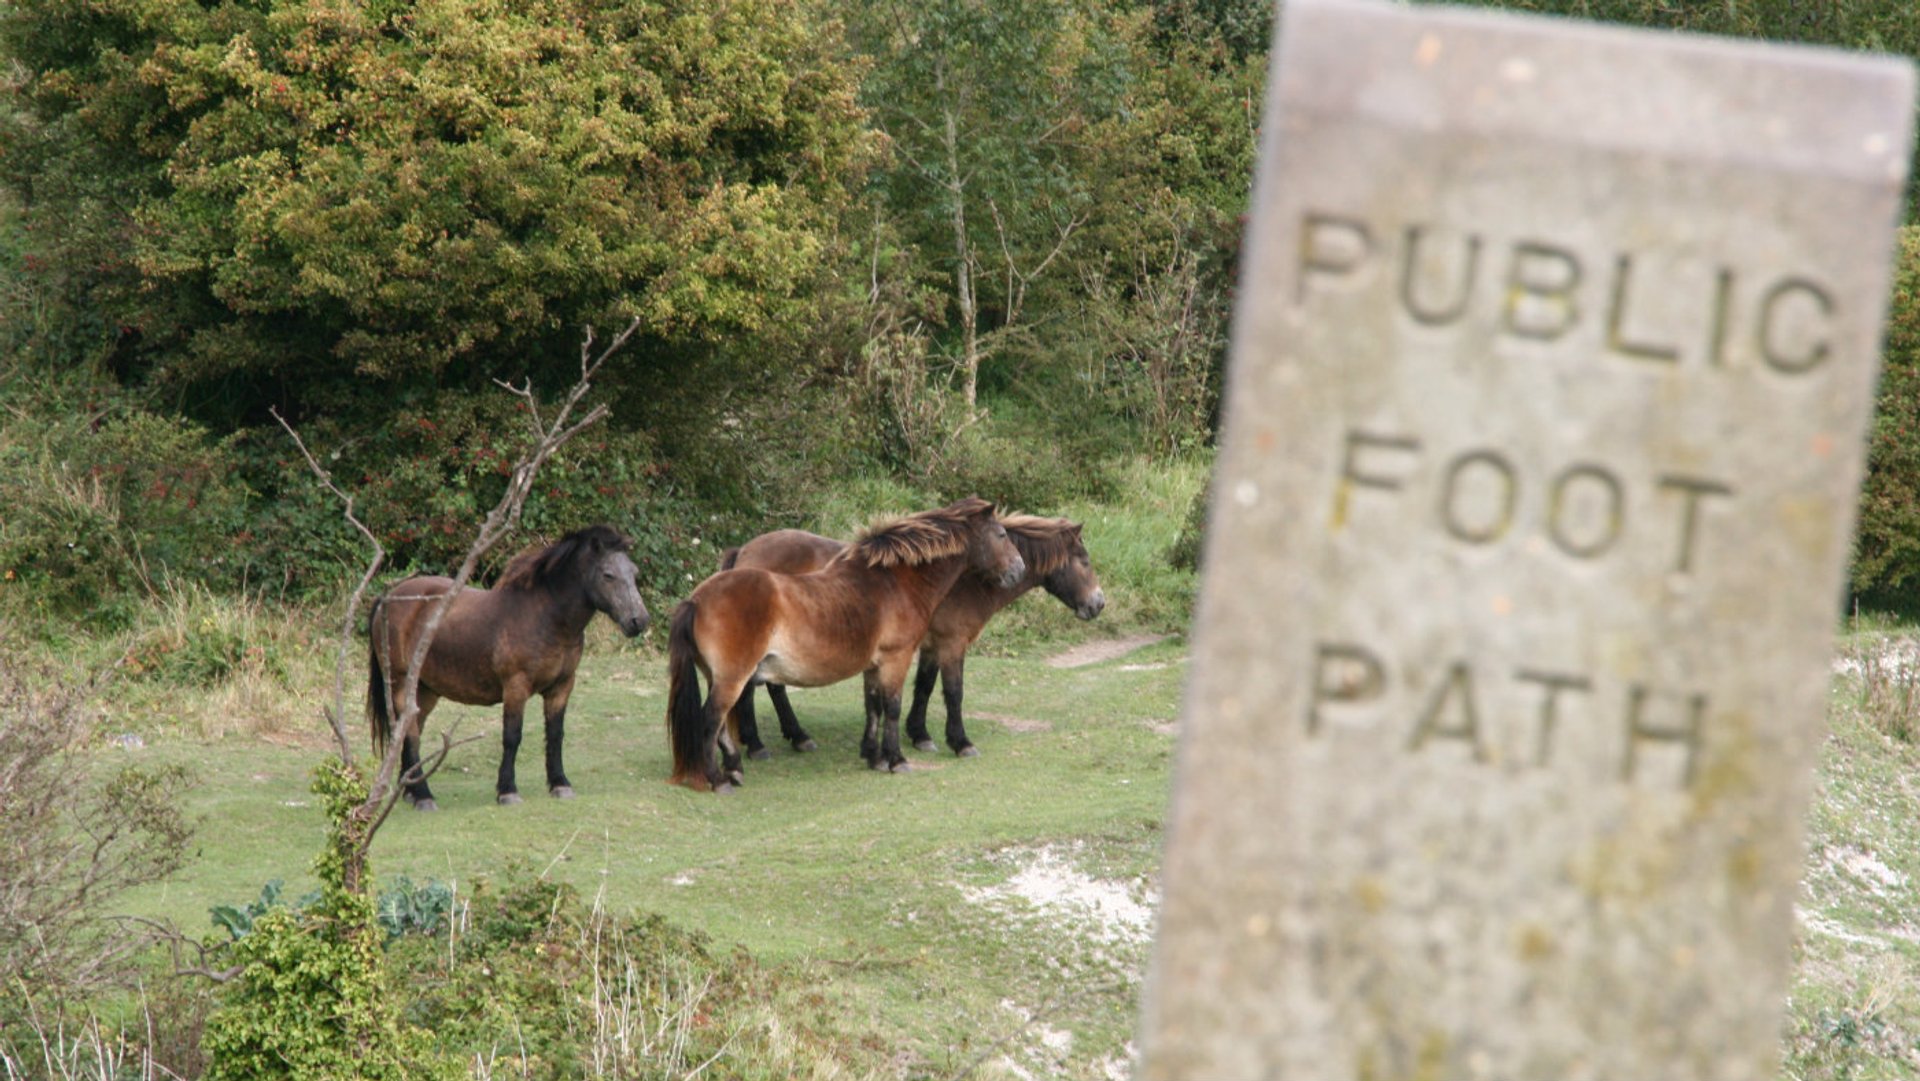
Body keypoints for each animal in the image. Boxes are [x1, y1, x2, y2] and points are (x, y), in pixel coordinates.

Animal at [362, 526, 648, 814]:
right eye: (608, 574)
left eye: (634, 573)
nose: (639, 621)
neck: (545, 617)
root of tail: (388, 597)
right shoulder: (516, 687)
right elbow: (512, 737)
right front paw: (507, 790)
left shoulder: (562, 687)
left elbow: (556, 735)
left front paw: (560, 784)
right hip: (400, 684)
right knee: (409, 733)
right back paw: (423, 795)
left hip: (425, 690)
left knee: (410, 732)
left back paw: (410, 791)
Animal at [664, 503, 1029, 794]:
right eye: (1001, 534)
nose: (1019, 569)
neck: (894, 581)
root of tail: (697, 600)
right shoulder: (897, 658)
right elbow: (893, 707)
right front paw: (897, 759)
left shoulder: (874, 665)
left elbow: (873, 707)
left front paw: (874, 756)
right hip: (733, 678)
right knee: (711, 721)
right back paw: (719, 778)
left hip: (721, 677)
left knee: (722, 724)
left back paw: (736, 768)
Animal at [721, 518, 1113, 756]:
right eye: (1084, 559)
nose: (1098, 603)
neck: (964, 577)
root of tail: (744, 552)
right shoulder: (952, 644)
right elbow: (953, 692)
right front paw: (959, 741)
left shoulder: (930, 647)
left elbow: (923, 687)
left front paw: (919, 734)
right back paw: (758, 744)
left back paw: (796, 736)